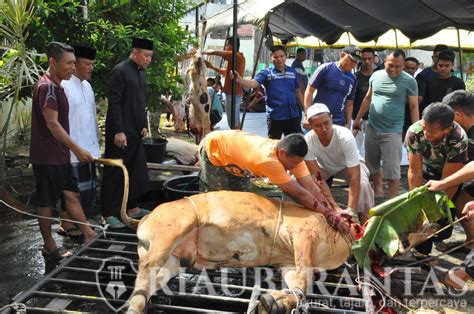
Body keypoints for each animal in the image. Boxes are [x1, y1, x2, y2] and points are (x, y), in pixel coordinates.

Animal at [122, 190, 360, 312]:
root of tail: (143, 219)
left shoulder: (288, 263)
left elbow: (299, 283)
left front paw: (274, 302)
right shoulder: (304, 233)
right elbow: (304, 278)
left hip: (173, 259)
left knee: (151, 279)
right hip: (174, 228)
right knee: (148, 267)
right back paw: (135, 308)